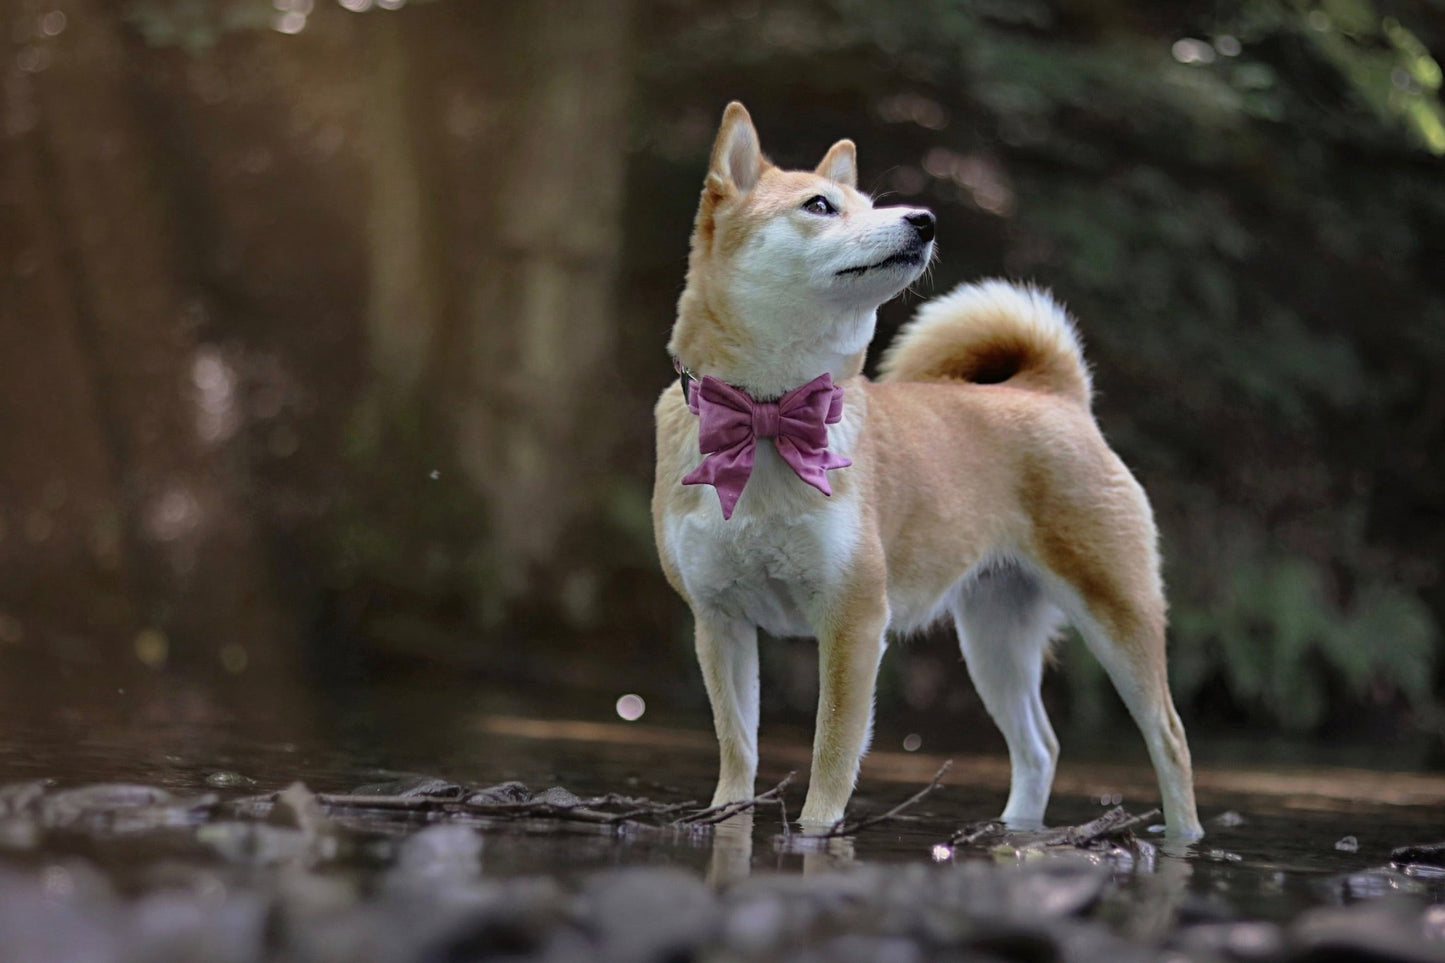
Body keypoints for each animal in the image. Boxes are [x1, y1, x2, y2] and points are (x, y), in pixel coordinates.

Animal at [652, 102, 1203, 838]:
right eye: (820, 205)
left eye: (870, 202)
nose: (924, 220)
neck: (768, 418)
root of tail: (1053, 393)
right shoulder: (718, 621)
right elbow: (736, 748)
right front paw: (727, 819)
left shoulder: (854, 618)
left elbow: (832, 752)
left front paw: (817, 830)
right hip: (994, 637)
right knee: (1040, 747)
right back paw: (1013, 832)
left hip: (1117, 612)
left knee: (1170, 738)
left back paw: (1184, 838)